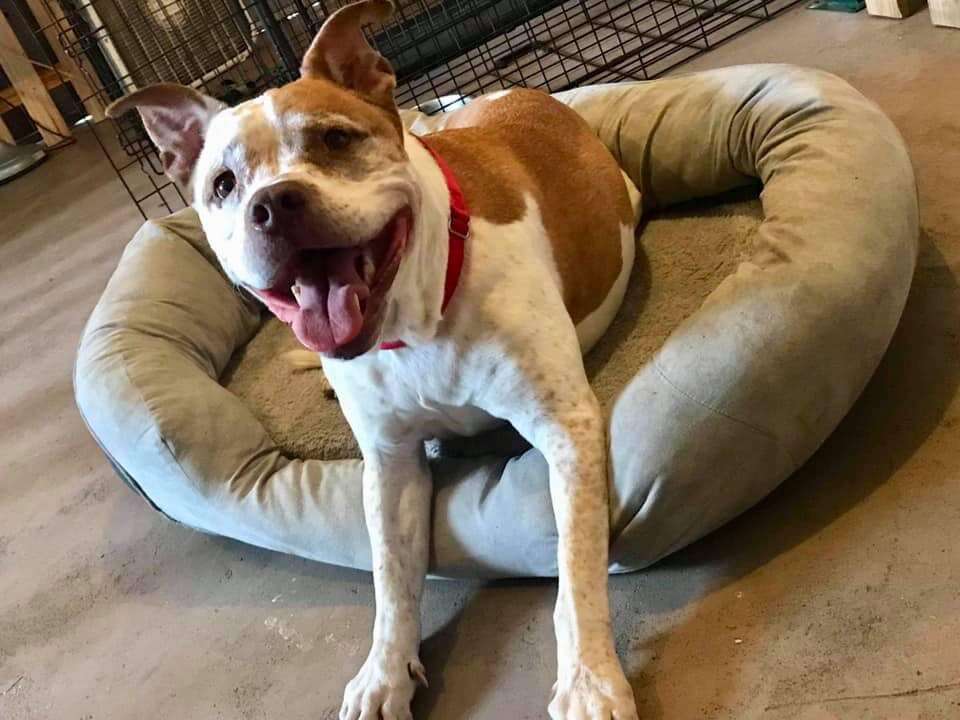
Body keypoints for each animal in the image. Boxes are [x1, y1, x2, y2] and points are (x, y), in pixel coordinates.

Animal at [107, 2, 636, 716]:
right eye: (223, 183)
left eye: (334, 140)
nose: (272, 203)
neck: (415, 320)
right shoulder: (389, 464)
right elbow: (390, 575)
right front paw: (384, 674)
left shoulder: (566, 427)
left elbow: (577, 566)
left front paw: (588, 681)